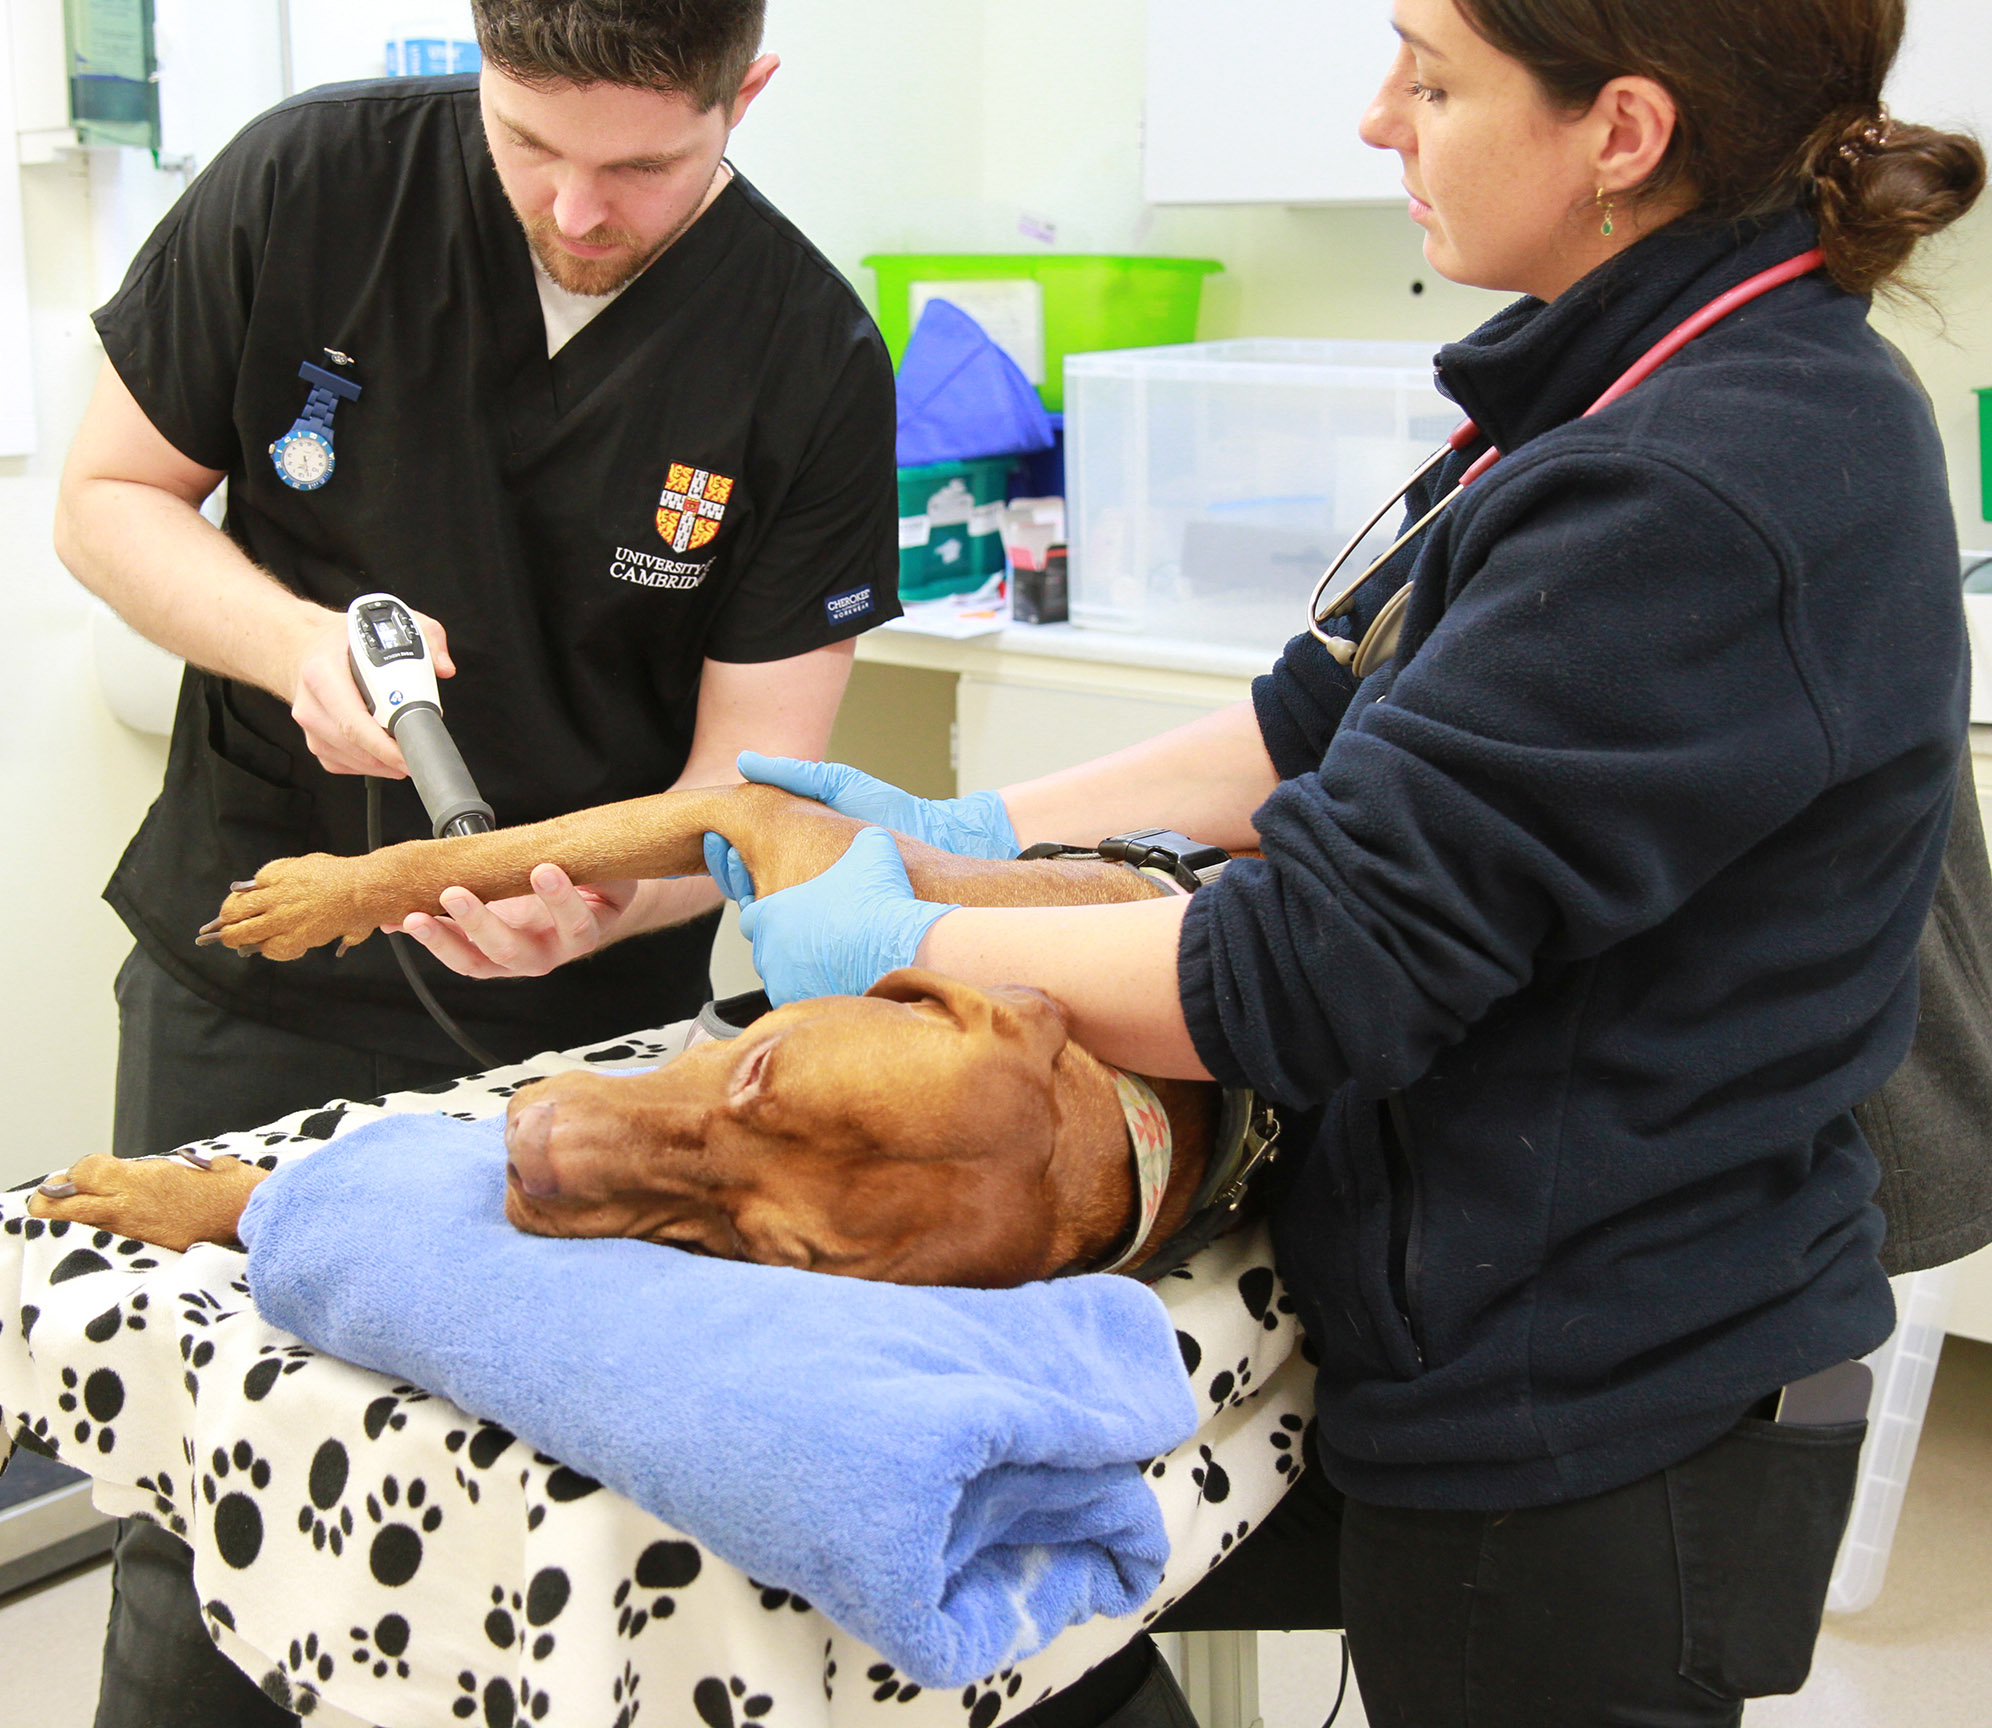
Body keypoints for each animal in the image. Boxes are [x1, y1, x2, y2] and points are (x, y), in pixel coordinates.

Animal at [35, 785, 1227, 1283]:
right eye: (760, 1067)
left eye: (757, 1245)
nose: (531, 1154)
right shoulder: (754, 811)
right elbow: (507, 848)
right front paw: (330, 892)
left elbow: (288, 1192)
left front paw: (158, 1195)